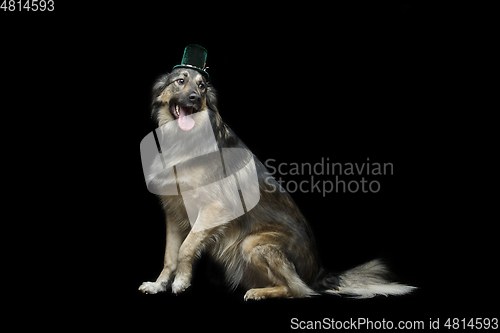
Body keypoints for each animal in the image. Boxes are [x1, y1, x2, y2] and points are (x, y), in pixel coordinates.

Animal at [139, 67, 416, 298]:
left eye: (202, 86)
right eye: (180, 81)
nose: (195, 98)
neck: (183, 141)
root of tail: (320, 274)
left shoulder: (215, 209)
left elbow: (185, 248)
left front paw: (181, 282)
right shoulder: (173, 214)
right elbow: (169, 255)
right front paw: (159, 284)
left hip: (252, 243)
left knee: (298, 289)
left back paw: (260, 293)